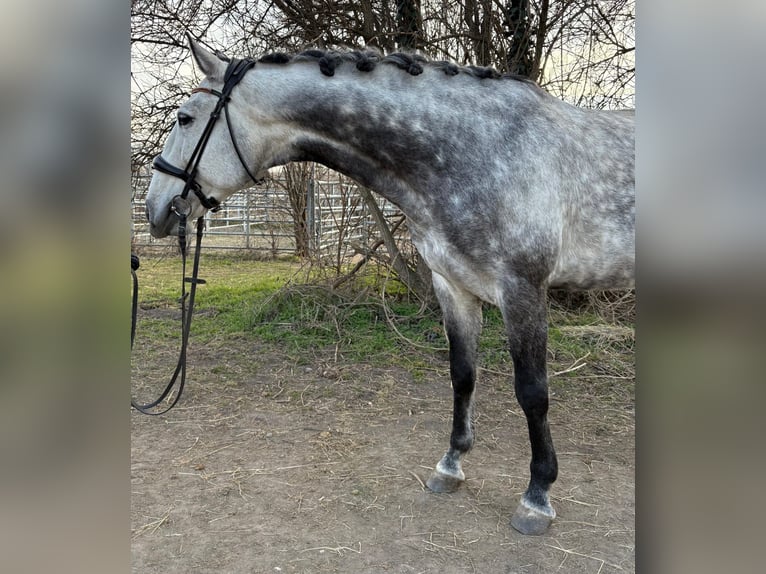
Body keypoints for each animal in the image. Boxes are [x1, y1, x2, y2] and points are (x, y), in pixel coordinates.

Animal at [144, 38, 636, 536]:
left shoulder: (523, 290)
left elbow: (533, 394)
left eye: (184, 118)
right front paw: (450, 465)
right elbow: (463, 375)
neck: (478, 149)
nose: (154, 209)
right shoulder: (453, 285)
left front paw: (537, 496)